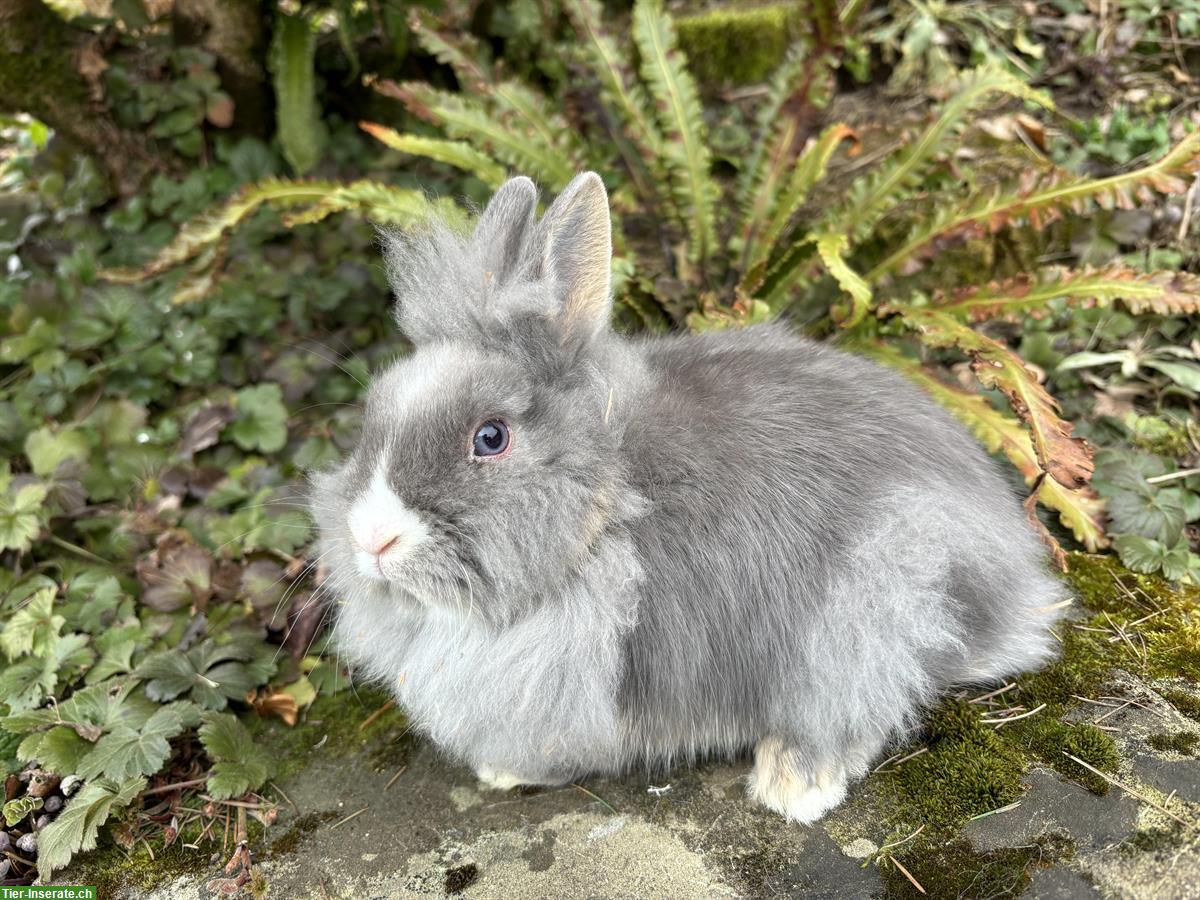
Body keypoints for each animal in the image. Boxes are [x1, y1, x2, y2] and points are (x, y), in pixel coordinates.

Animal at [312, 172, 1070, 830]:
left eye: (490, 438)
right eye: (372, 415)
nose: (371, 539)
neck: (610, 503)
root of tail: (1018, 581)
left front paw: (508, 772)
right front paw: (499, 772)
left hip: (880, 597)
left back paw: (794, 786)